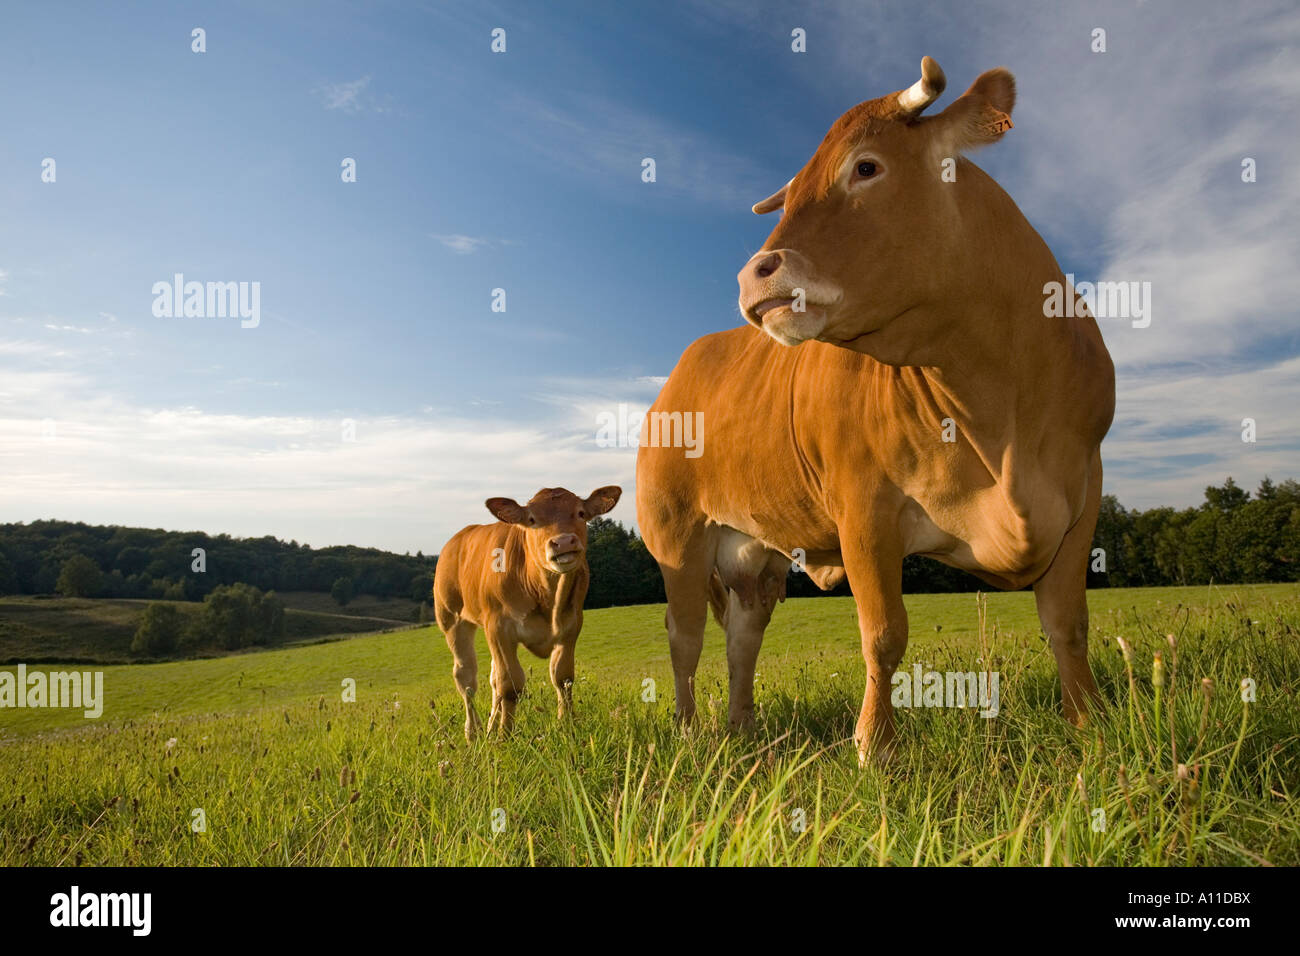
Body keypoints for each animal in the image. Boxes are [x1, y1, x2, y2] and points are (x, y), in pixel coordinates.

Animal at [434, 486, 621, 738]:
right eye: (532, 519)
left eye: (581, 513)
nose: (563, 542)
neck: (546, 595)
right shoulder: (499, 628)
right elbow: (510, 684)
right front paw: (505, 736)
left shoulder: (571, 626)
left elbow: (562, 678)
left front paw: (567, 725)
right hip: (452, 621)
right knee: (467, 680)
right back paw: (474, 733)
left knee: (492, 679)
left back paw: (489, 728)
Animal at [637, 57, 1118, 764]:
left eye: (865, 167)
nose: (753, 275)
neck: (1000, 408)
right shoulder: (863, 507)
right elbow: (883, 634)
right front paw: (875, 747)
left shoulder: (1083, 493)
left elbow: (1067, 623)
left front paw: (1087, 721)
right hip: (677, 534)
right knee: (685, 636)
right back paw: (690, 732)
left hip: (754, 551)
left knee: (743, 635)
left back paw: (744, 727)